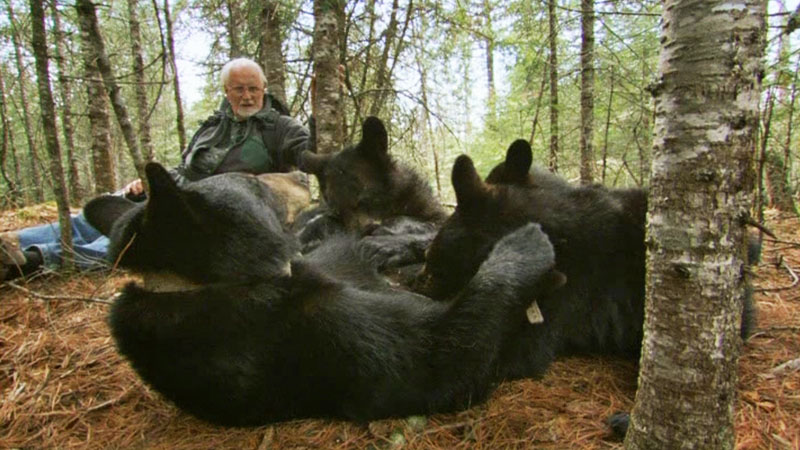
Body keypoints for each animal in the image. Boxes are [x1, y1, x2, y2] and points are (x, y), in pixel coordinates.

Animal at [83, 162, 566, 426]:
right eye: (254, 182)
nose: (300, 170)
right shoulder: (301, 334)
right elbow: (443, 360)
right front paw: (523, 245)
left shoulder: (327, 262)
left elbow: (352, 247)